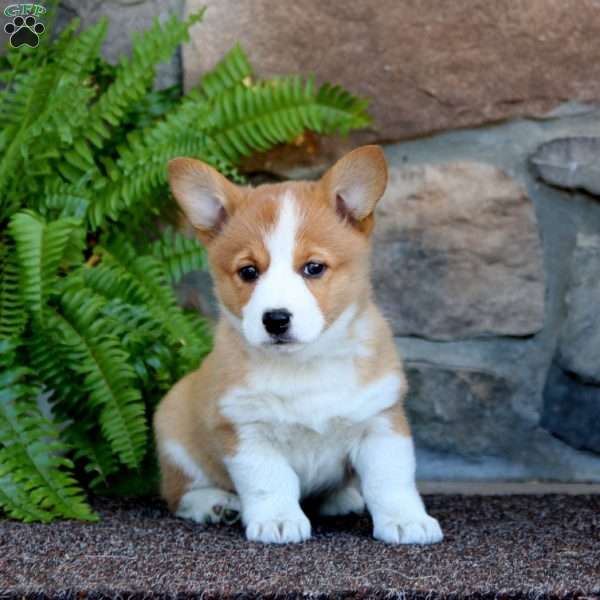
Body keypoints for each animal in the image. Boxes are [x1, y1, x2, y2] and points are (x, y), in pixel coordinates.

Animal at [155, 145, 442, 544]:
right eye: (248, 271)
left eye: (314, 267)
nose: (276, 319)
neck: (305, 363)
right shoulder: (246, 429)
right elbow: (270, 482)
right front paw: (277, 520)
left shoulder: (380, 420)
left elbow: (391, 481)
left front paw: (405, 521)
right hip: (173, 430)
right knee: (179, 493)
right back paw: (215, 504)